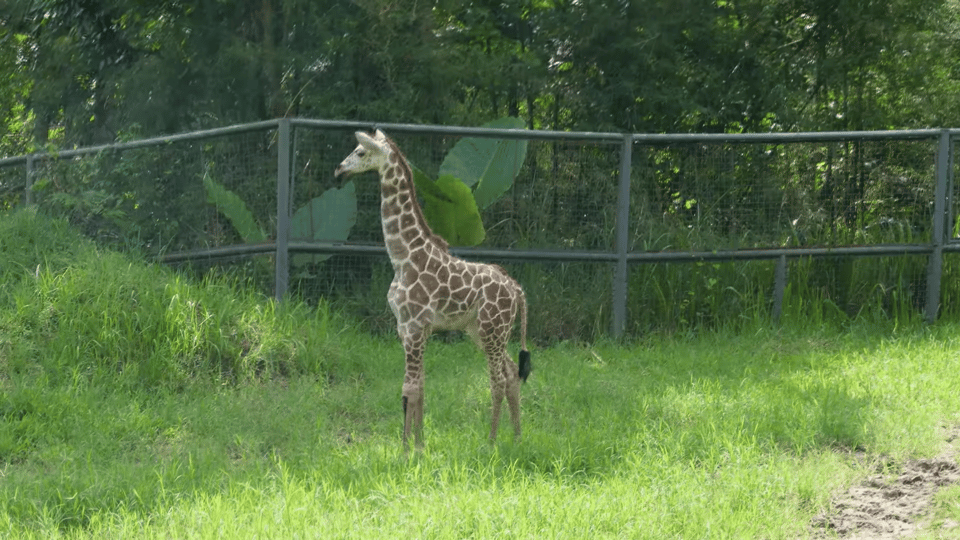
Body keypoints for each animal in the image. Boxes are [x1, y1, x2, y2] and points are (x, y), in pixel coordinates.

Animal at [336, 127, 532, 452]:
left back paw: (491, 442)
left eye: (360, 152)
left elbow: (410, 387)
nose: (339, 171)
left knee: (497, 380)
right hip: (484, 332)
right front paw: (419, 445)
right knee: (512, 373)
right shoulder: (407, 328)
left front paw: (406, 450)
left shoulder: (414, 327)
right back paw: (516, 438)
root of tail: (517, 290)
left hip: (492, 330)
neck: (403, 256)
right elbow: (420, 387)